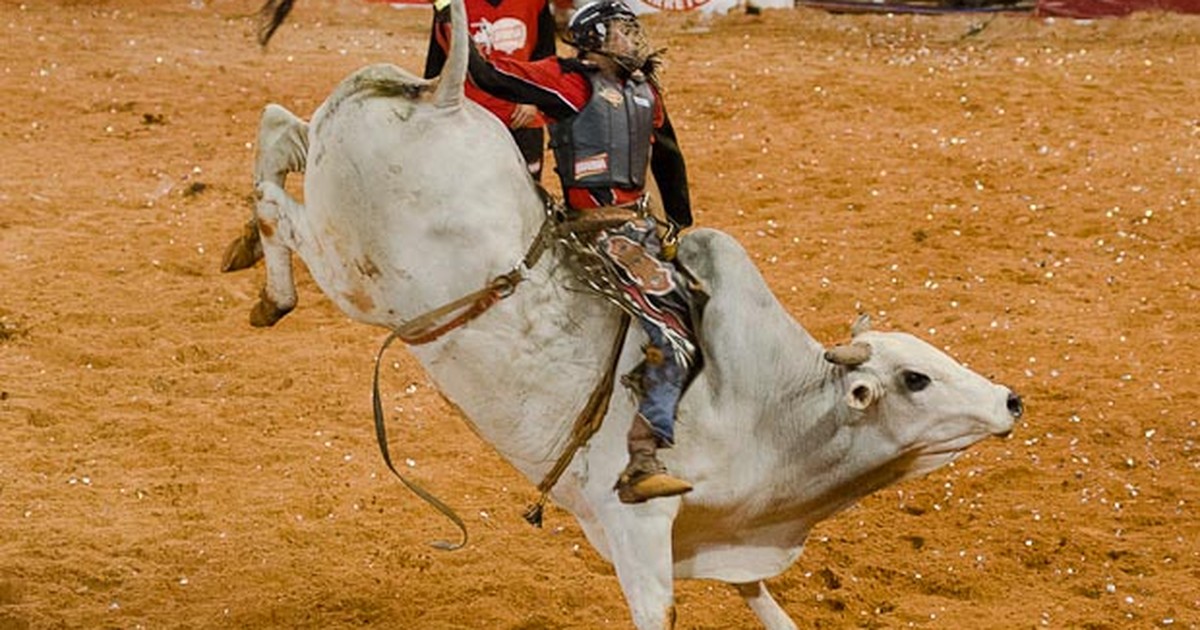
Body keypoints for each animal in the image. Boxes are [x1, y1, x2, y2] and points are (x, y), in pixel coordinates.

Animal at [225, 1, 1022, 624]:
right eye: (916, 378)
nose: (1011, 399)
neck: (770, 416)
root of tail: (443, 96)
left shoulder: (720, 540)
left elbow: (764, 603)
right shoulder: (638, 535)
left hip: (336, 173)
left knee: (279, 127)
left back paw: (246, 254)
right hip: (349, 262)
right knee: (276, 196)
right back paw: (271, 289)